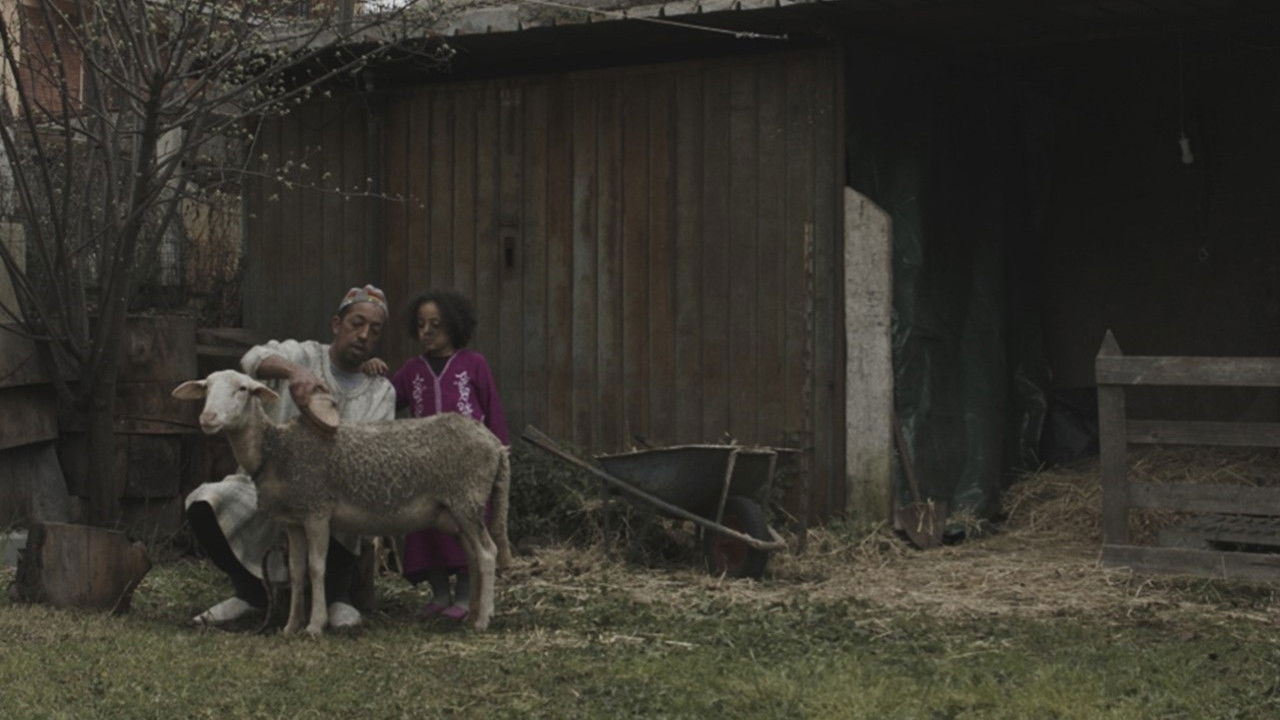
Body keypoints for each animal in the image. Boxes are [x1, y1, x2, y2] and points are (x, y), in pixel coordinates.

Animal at [173, 369, 511, 636]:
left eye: (243, 389)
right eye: (206, 387)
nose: (208, 418)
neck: (276, 450)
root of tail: (495, 444)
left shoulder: (317, 511)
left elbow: (316, 568)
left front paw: (314, 626)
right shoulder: (293, 522)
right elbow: (296, 571)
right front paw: (290, 626)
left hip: (466, 499)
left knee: (488, 553)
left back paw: (482, 621)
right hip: (458, 510)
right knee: (473, 557)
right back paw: (471, 615)